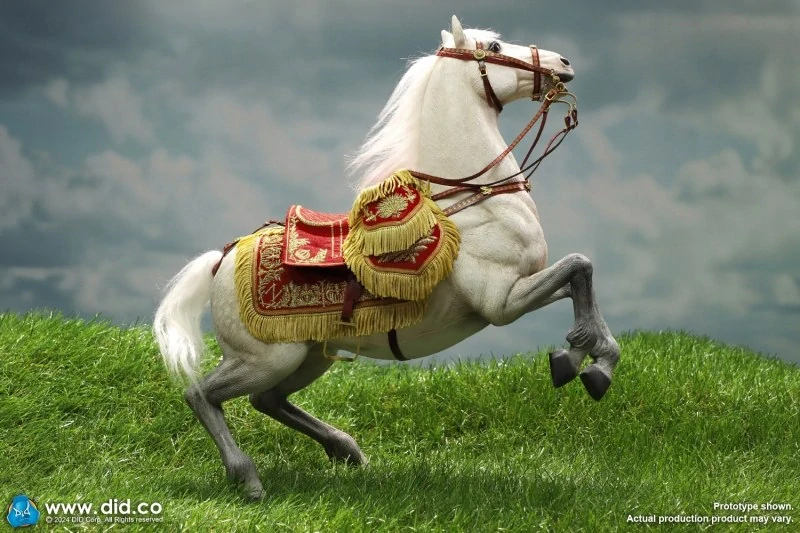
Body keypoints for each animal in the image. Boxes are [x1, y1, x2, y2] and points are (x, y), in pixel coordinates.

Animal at [154, 15, 620, 500]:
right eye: (493, 46)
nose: (563, 63)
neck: (477, 201)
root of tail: (222, 259)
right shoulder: (502, 300)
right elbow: (578, 265)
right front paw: (579, 359)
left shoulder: (524, 286)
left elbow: (580, 278)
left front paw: (591, 360)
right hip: (264, 359)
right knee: (202, 394)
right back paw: (248, 478)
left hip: (310, 357)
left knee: (267, 399)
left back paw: (346, 450)